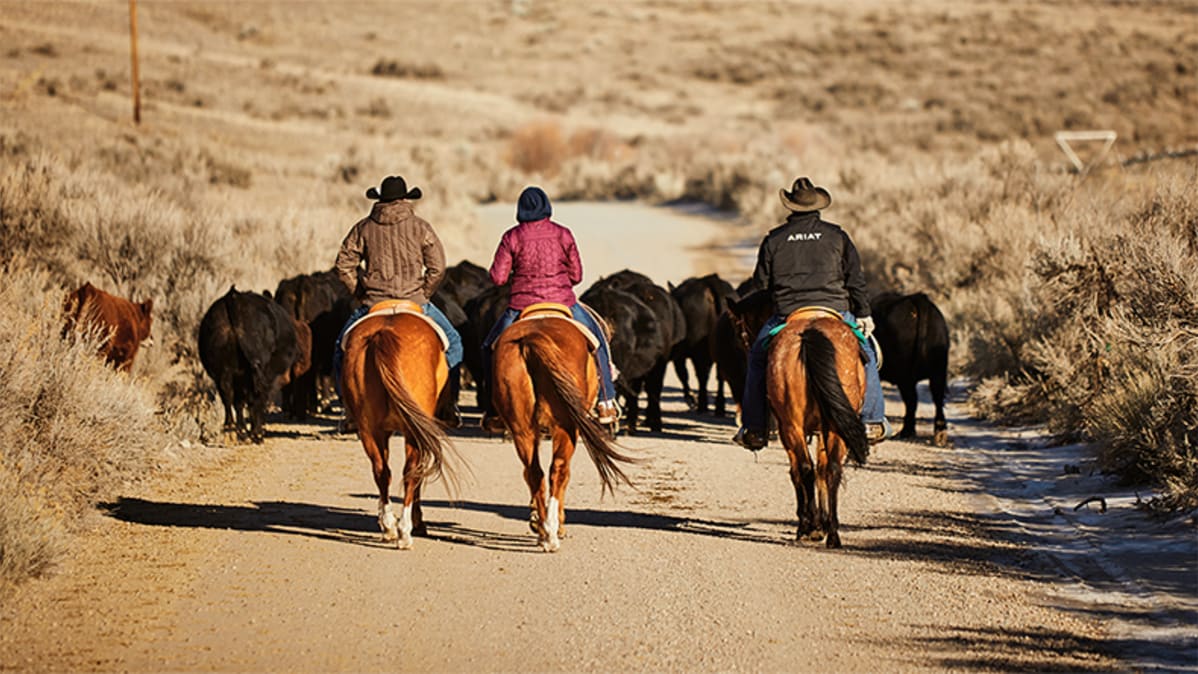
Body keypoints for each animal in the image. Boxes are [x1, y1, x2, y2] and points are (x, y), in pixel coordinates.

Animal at [340, 301, 461, 549]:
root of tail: (383, 333)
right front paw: (417, 522)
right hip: (412, 430)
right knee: (410, 471)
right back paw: (405, 531)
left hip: (369, 428)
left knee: (381, 470)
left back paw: (388, 527)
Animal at [491, 303, 637, 552]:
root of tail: (533, 338)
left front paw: (534, 519)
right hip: (566, 425)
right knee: (559, 470)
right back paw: (552, 533)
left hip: (522, 428)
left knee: (534, 472)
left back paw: (543, 531)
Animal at [767, 308, 871, 548]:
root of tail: (810, 332)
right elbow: (819, 469)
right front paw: (819, 523)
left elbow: (801, 471)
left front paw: (811, 523)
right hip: (827, 427)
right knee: (829, 468)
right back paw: (831, 533)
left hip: (793, 427)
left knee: (807, 469)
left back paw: (813, 528)